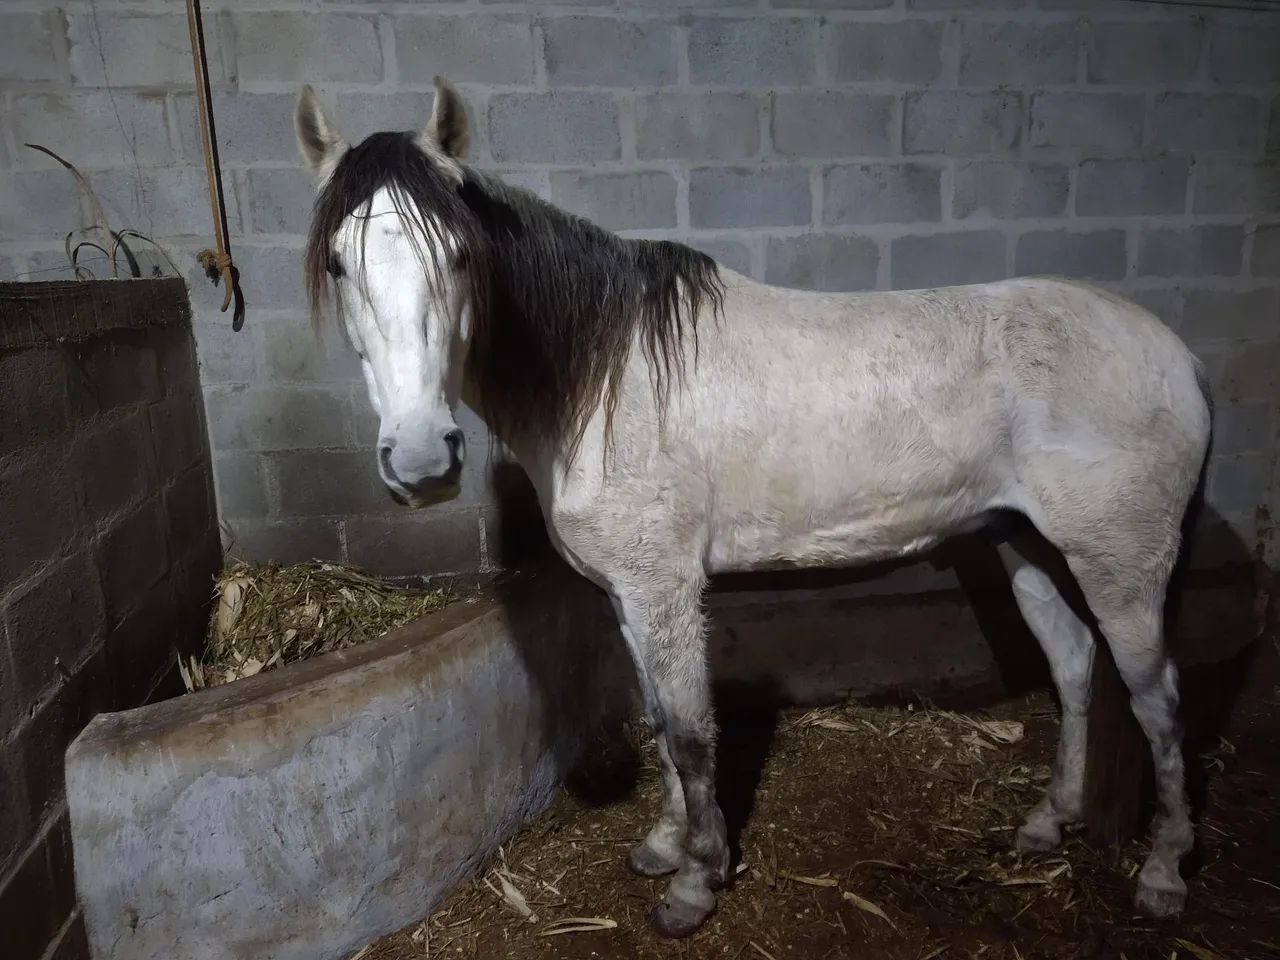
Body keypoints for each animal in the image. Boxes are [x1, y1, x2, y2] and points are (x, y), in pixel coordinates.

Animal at [293, 77, 1212, 939]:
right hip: (1025, 544)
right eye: (338, 264)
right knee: (1074, 664)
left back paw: (1164, 874)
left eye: (459, 256)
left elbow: (691, 729)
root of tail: (1178, 355)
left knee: (1159, 695)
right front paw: (664, 847)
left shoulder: (664, 589)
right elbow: (659, 716)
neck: (603, 379)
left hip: (1119, 565)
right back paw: (1050, 821)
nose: (422, 457)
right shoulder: (629, 594)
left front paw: (695, 885)